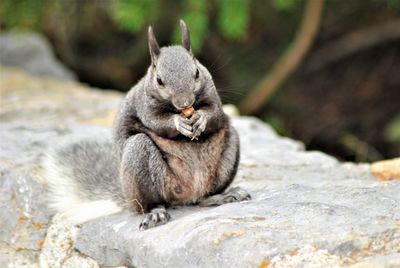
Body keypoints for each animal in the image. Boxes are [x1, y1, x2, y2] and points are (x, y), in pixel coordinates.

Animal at [43, 21, 250, 230]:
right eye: (159, 80)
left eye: (197, 72)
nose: (185, 102)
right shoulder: (144, 106)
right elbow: (157, 122)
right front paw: (178, 123)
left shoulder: (211, 91)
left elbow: (215, 112)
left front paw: (201, 118)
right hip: (140, 159)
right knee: (152, 202)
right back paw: (156, 213)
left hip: (227, 152)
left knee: (203, 197)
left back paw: (222, 196)